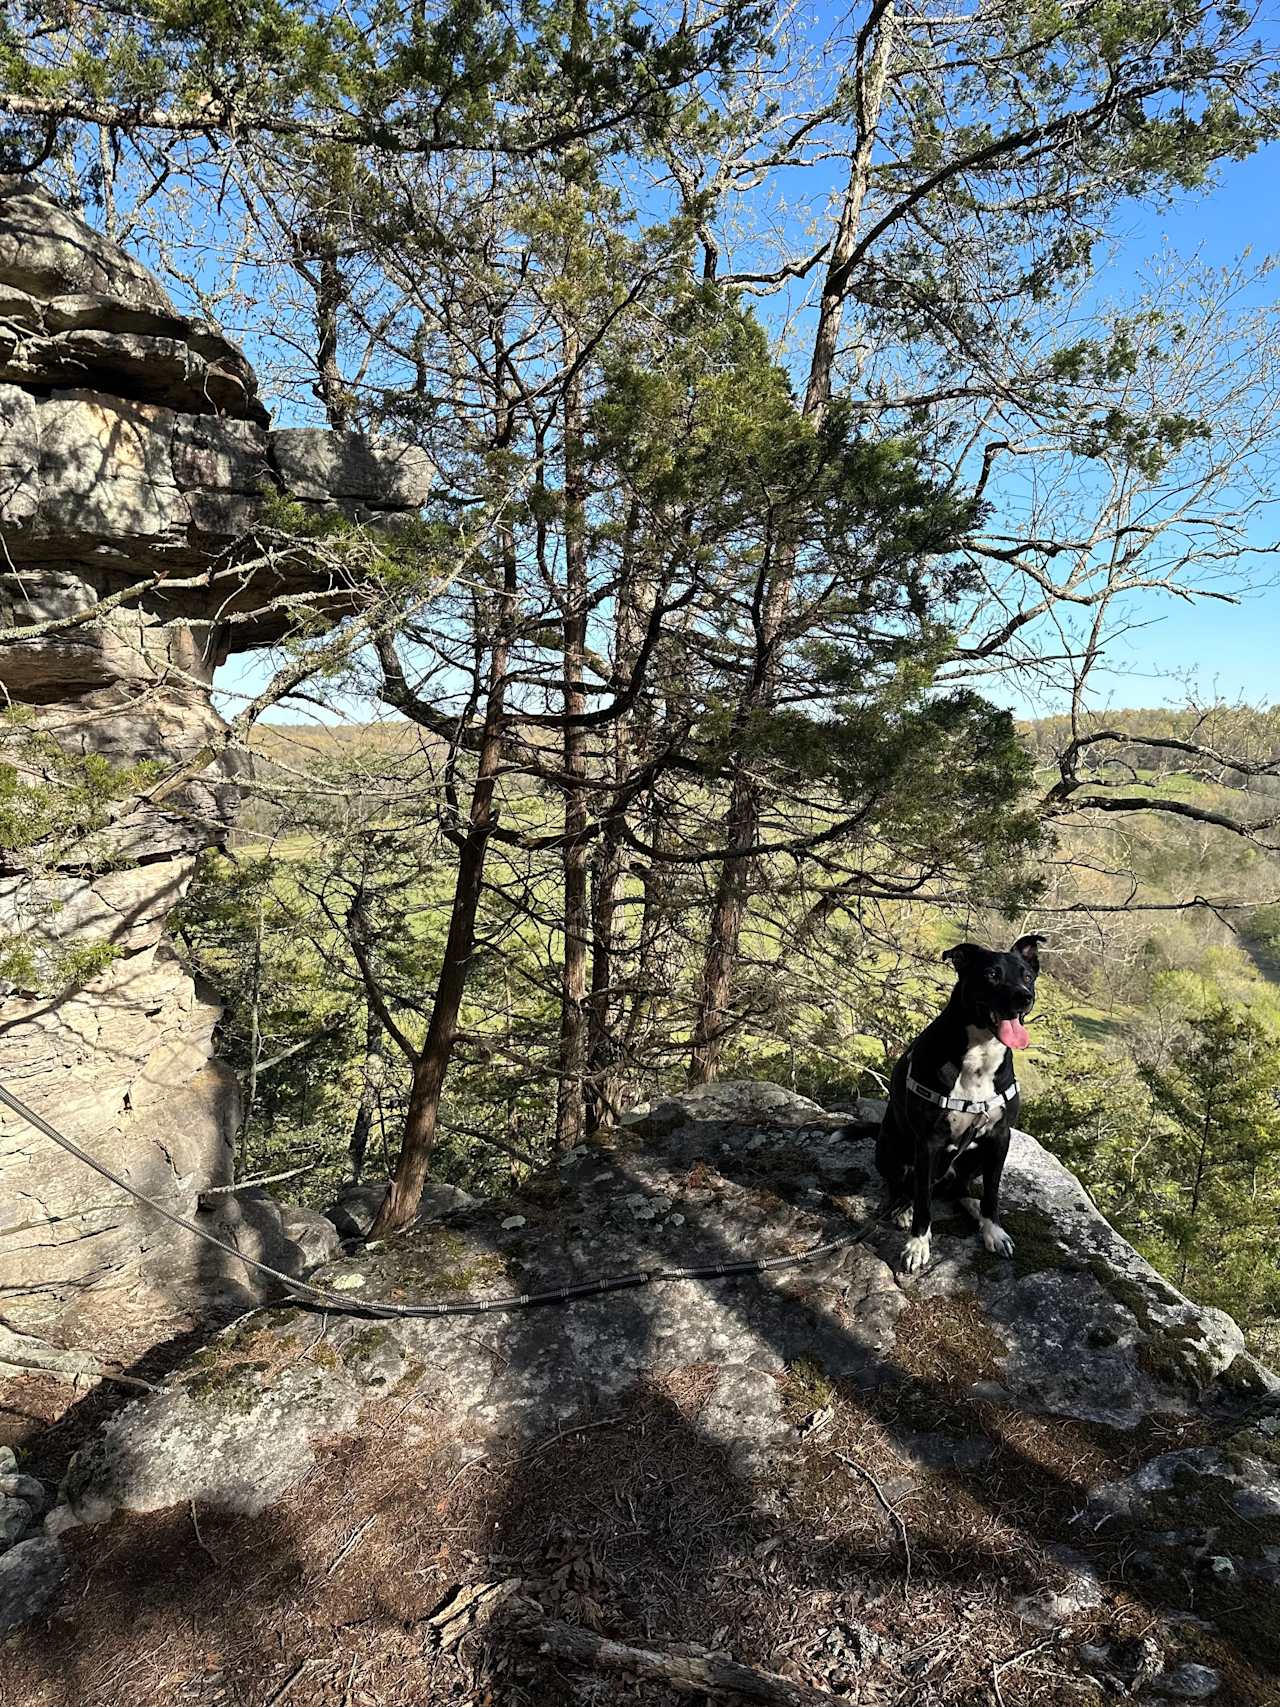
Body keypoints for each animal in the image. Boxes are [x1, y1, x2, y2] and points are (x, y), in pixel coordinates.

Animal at [880, 942, 1044, 1276]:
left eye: (1028, 976)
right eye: (992, 974)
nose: (1024, 997)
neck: (980, 1052)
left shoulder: (1000, 1137)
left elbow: (992, 1193)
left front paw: (994, 1229)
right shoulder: (929, 1143)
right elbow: (923, 1203)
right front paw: (917, 1244)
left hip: (975, 1156)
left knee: (960, 1189)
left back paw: (974, 1209)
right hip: (892, 1147)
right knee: (902, 1186)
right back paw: (902, 1208)